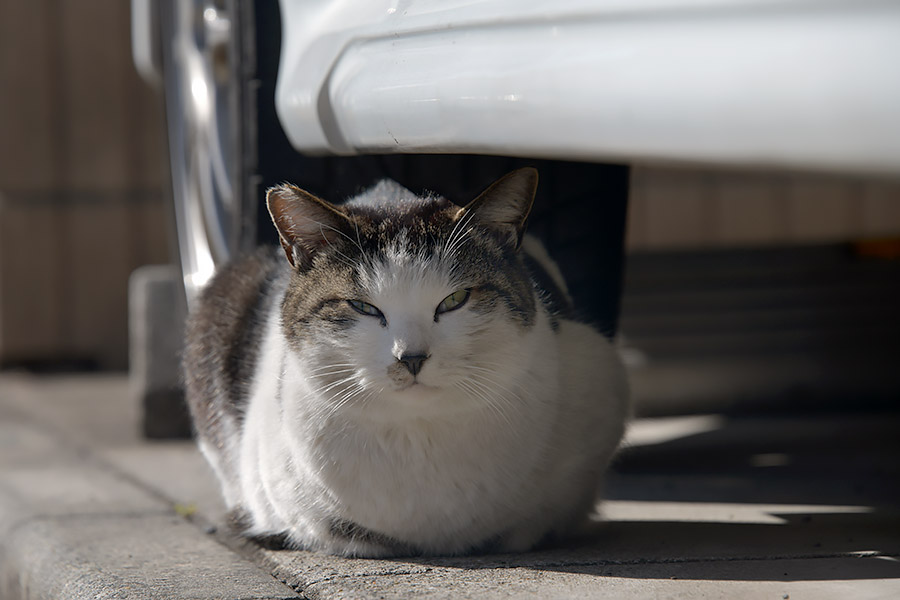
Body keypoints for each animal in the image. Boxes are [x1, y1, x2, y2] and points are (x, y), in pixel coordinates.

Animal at [185, 169, 624, 556]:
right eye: (363, 307)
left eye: (454, 300)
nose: (411, 357)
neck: (418, 437)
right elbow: (334, 529)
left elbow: (532, 521)